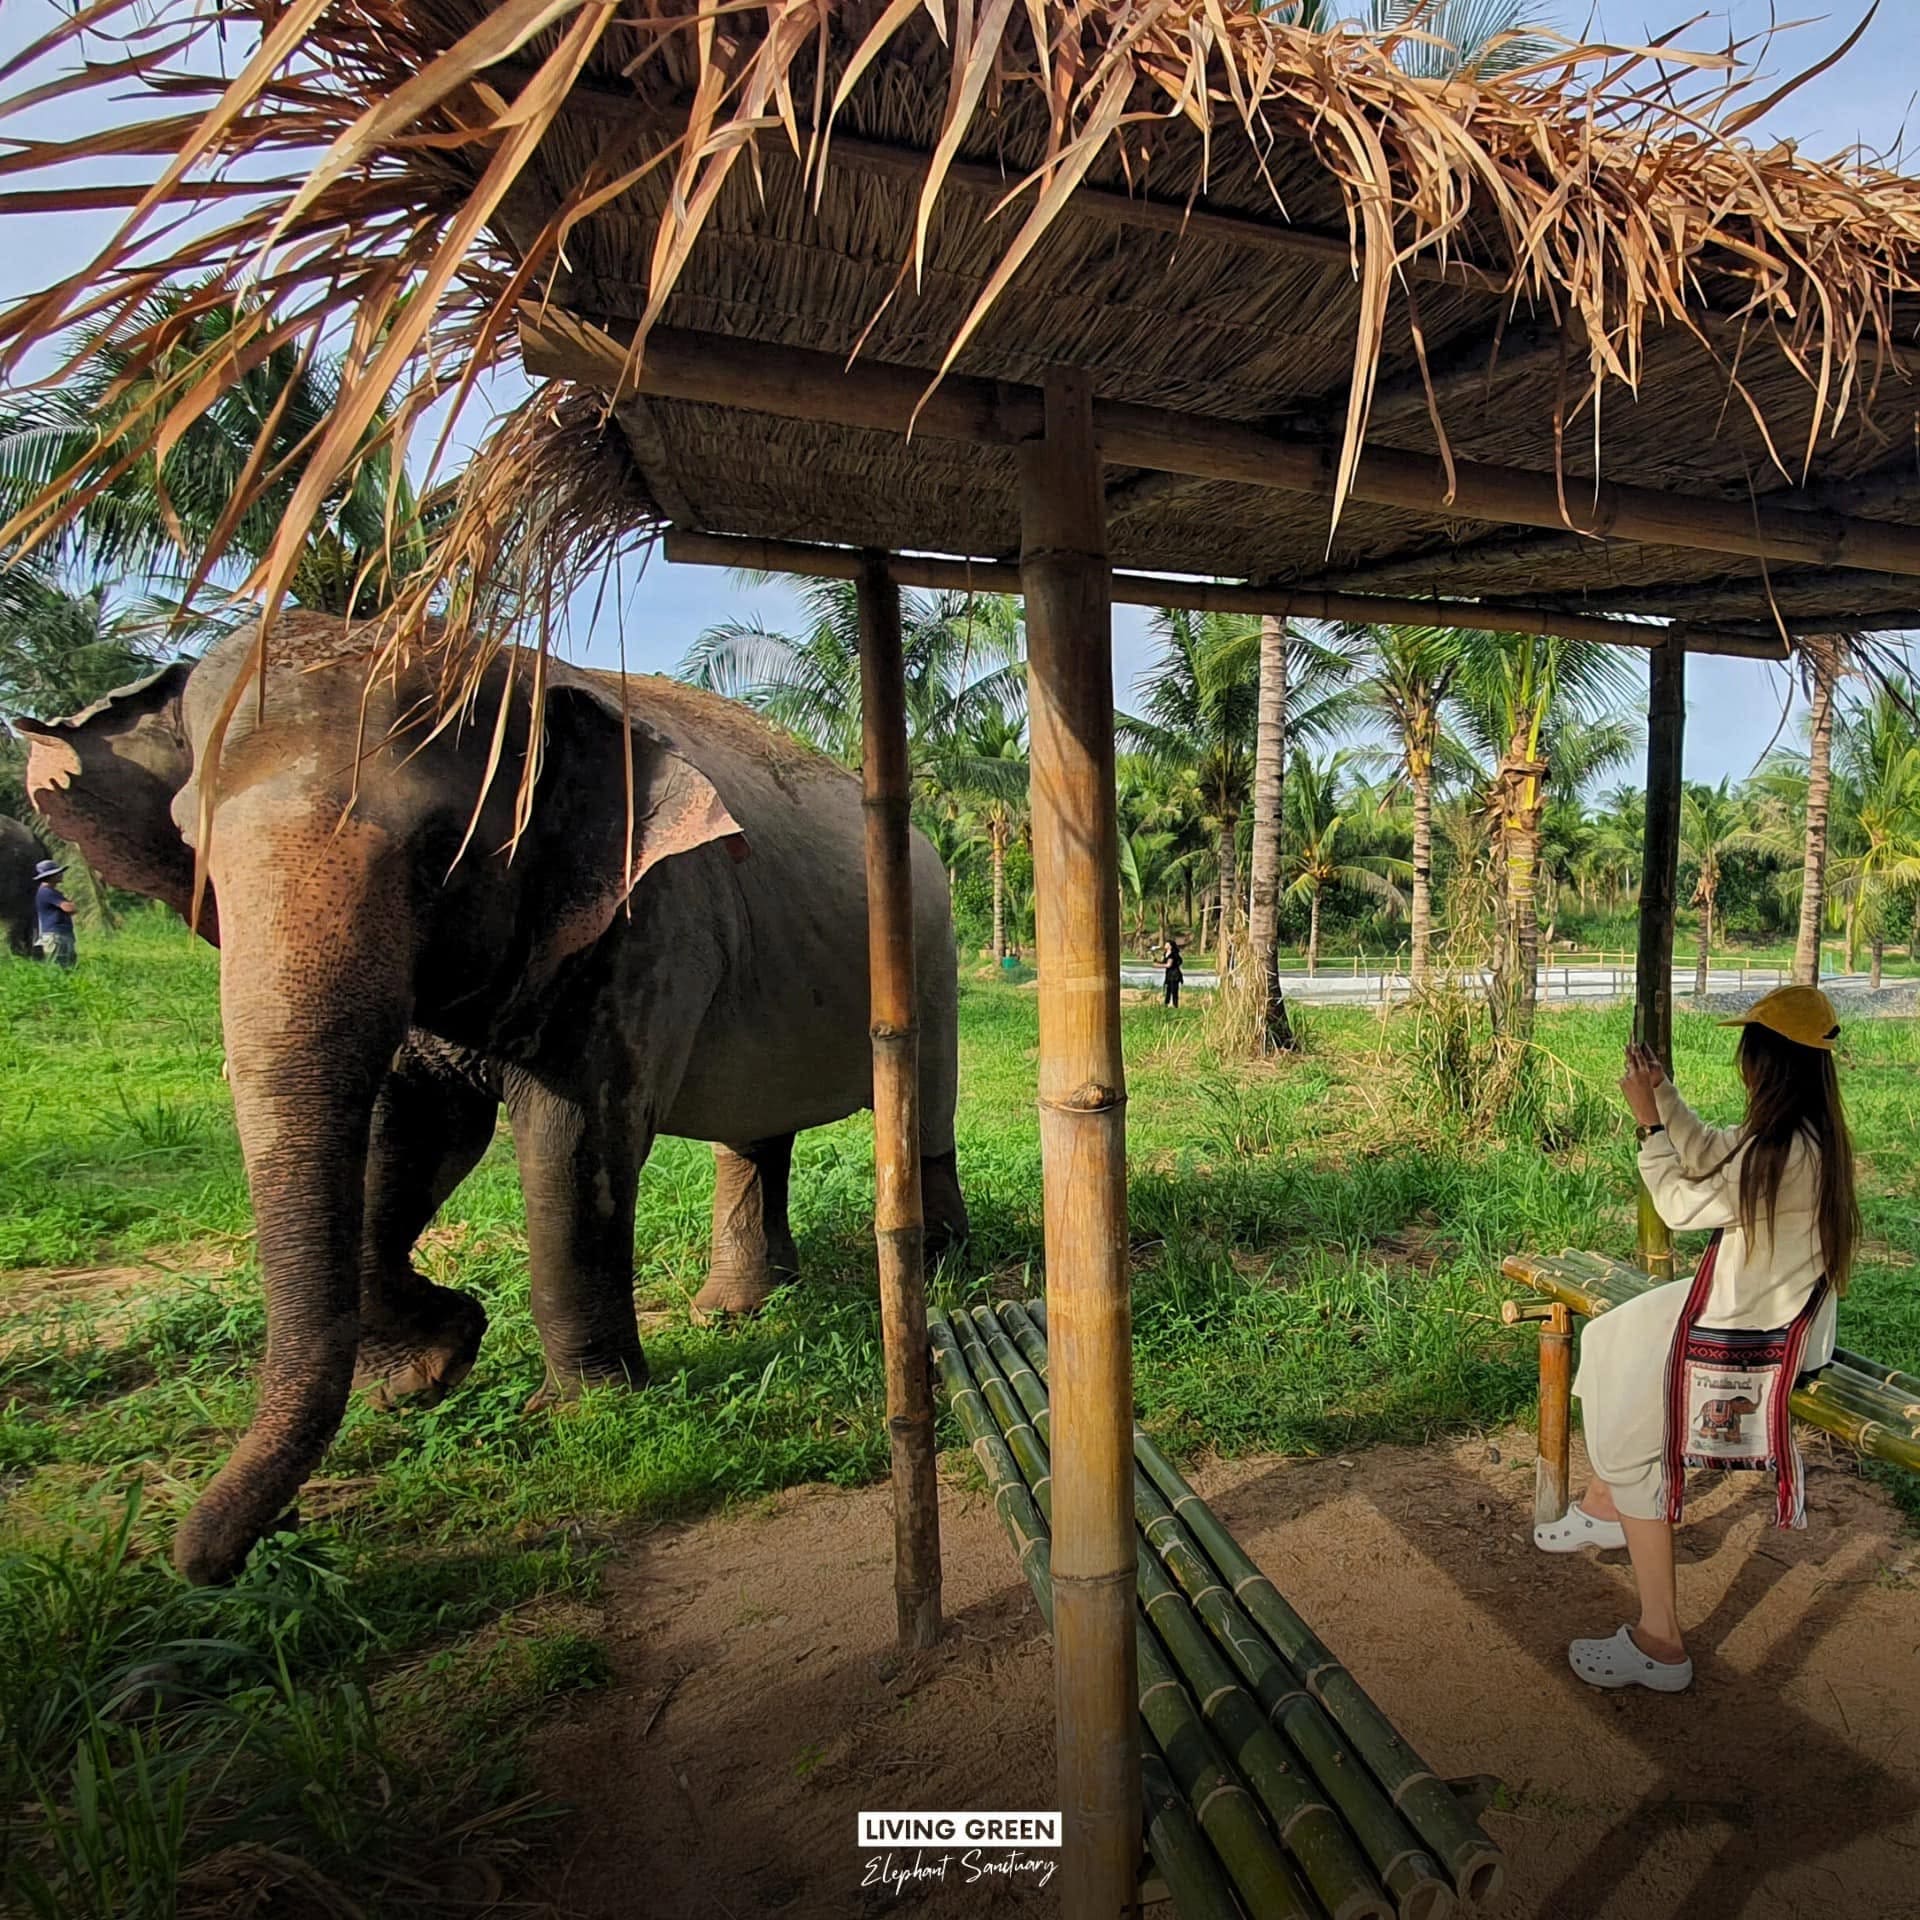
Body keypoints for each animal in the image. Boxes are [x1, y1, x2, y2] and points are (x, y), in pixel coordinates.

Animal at [18, 612, 968, 1584]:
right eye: (199, 853)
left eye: (444, 848)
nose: (219, 1560)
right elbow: (409, 1136)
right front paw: (426, 1372)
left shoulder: (648, 925)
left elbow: (573, 1139)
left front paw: (580, 1411)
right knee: (755, 1134)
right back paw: (735, 1309)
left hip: (930, 953)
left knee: (922, 1105)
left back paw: (937, 1262)